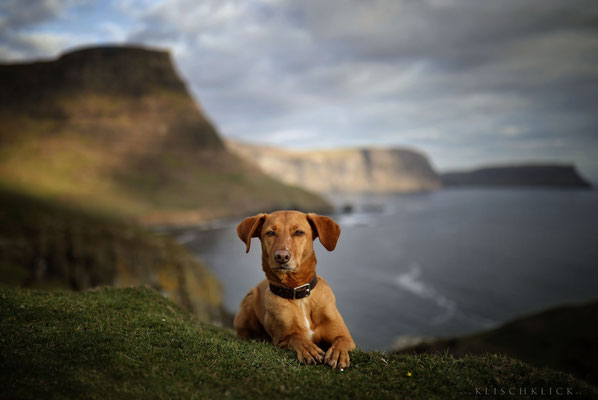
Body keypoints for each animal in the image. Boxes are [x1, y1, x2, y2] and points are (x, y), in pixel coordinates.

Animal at [234, 211, 356, 370]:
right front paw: (308, 349)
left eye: (299, 232)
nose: (282, 256)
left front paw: (338, 353)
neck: (299, 293)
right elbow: (295, 336)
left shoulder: (346, 337)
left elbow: (341, 339)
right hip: (250, 298)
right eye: (270, 233)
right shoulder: (281, 338)